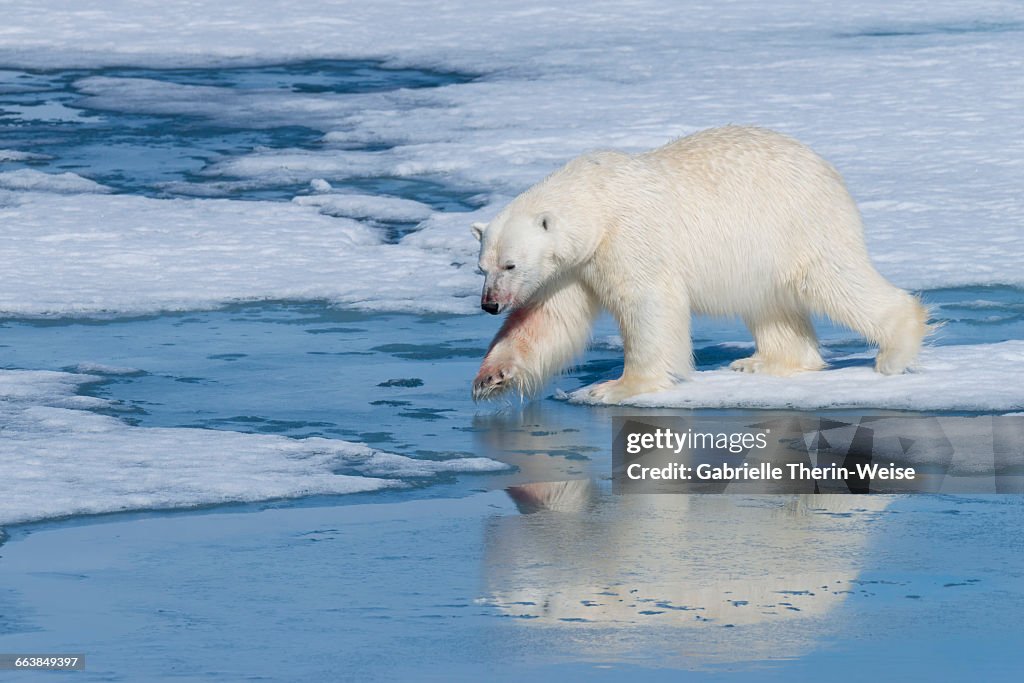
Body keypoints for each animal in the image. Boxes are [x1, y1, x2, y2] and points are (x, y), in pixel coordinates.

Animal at [471, 125, 929, 403]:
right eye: (482, 267)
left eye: (510, 265)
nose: (490, 304)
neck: (596, 202)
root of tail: (829, 171)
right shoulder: (573, 266)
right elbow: (548, 319)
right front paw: (490, 377)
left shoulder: (627, 238)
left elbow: (648, 304)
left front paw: (617, 387)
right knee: (769, 303)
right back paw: (762, 362)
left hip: (798, 225)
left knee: (834, 282)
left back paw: (895, 351)